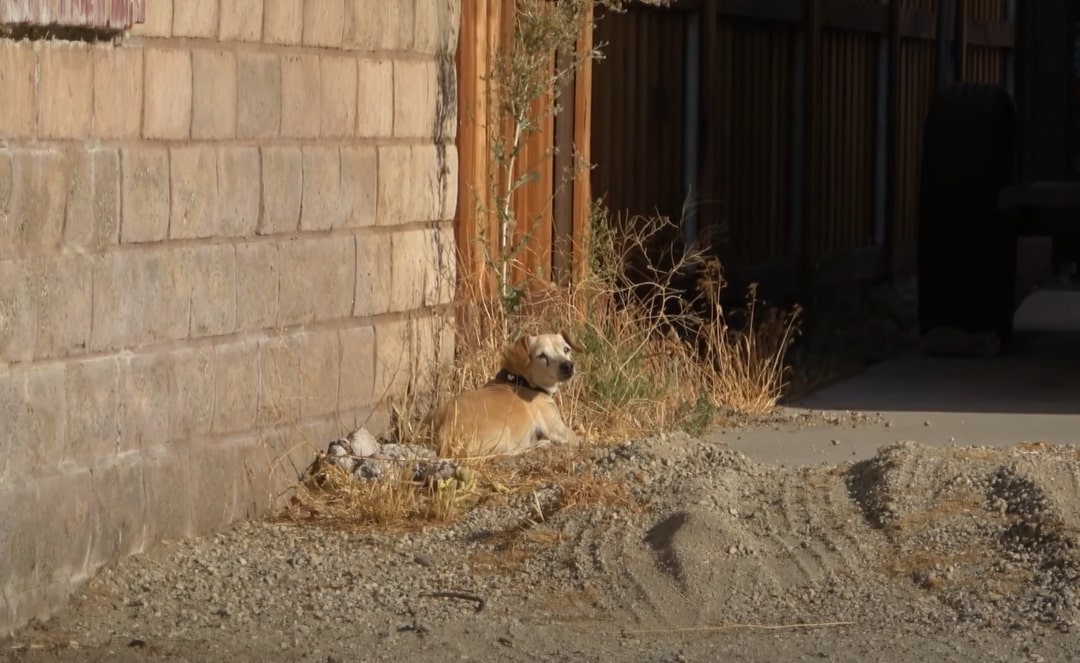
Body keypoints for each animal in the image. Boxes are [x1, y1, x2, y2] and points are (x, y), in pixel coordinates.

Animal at [425, 330, 587, 457]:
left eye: (566, 349)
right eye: (542, 356)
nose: (568, 366)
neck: (519, 379)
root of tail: (444, 431)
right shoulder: (560, 431)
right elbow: (577, 439)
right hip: (503, 437)